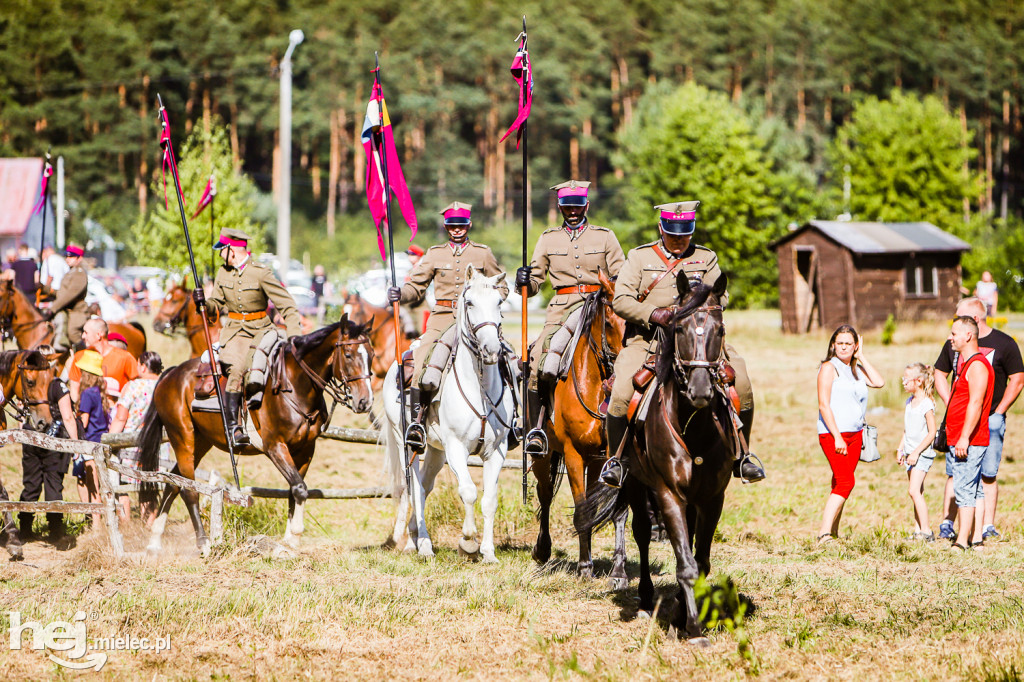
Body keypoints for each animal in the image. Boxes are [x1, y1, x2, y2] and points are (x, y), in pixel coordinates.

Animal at [138, 313, 374, 552]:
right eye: (348, 354)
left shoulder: (306, 449)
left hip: (201, 441)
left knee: (173, 483)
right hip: (182, 438)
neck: (294, 386)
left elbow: (294, 489)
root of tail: (171, 374)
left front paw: (290, 540)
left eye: (372, 355)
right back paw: (203, 542)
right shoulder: (276, 447)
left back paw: (155, 540)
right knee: (188, 489)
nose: (365, 401)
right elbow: (299, 487)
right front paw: (295, 535)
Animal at [382, 262, 516, 561]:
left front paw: (488, 552)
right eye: (470, 302)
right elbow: (468, 491)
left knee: (425, 486)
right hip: (405, 441)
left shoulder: (497, 451)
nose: (491, 350)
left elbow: (489, 500)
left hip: (435, 450)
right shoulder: (456, 447)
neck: (479, 388)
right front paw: (468, 541)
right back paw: (423, 545)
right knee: (416, 488)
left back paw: (415, 539)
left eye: (499, 302)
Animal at [528, 270, 630, 585]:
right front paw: (585, 567)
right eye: (609, 321)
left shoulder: (615, 460)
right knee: (545, 493)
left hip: (595, 462)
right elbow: (581, 510)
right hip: (543, 456)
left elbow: (616, 512)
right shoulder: (573, 456)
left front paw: (619, 572)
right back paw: (542, 550)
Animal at [577, 272, 737, 643]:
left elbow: (699, 559)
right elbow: (686, 564)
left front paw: (687, 612)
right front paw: (693, 627)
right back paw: (647, 596)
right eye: (679, 328)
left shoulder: (712, 498)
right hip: (635, 483)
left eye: (720, 329)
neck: (693, 426)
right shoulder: (668, 494)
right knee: (639, 532)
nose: (700, 389)